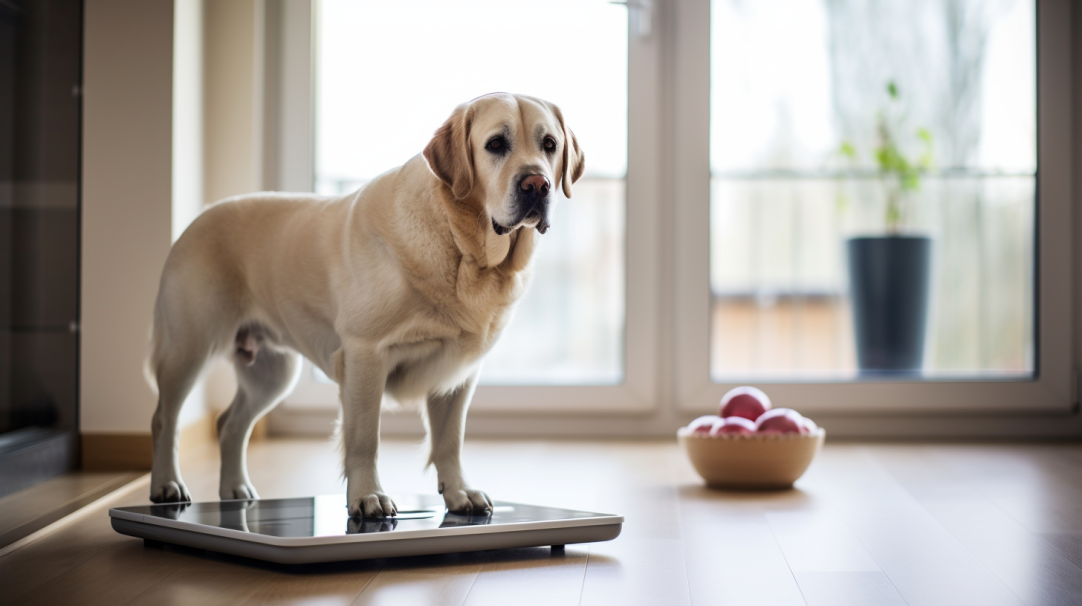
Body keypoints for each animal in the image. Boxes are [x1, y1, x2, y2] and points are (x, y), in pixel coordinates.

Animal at [148, 93, 584, 515]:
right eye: (495, 144)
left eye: (550, 145)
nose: (538, 184)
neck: (462, 247)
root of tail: (198, 217)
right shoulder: (364, 354)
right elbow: (364, 438)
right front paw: (367, 497)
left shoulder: (458, 371)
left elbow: (450, 440)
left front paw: (460, 492)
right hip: (189, 348)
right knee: (164, 419)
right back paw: (167, 485)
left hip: (272, 373)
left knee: (229, 424)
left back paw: (235, 488)